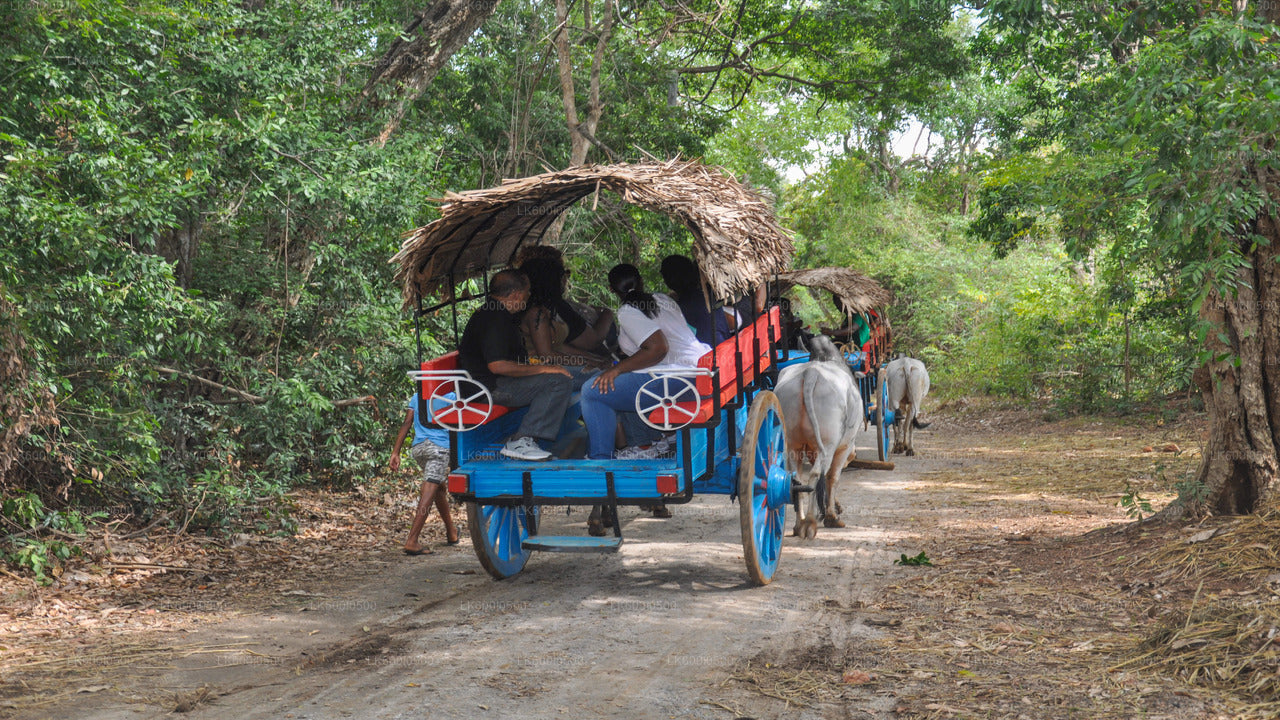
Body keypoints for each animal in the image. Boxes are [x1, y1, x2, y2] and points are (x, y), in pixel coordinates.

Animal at [773, 333, 865, 535]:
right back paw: (809, 522)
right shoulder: (844, 447)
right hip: (828, 444)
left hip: (793, 444)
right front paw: (832, 515)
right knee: (816, 475)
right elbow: (832, 477)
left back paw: (798, 524)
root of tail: (811, 372)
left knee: (797, 479)